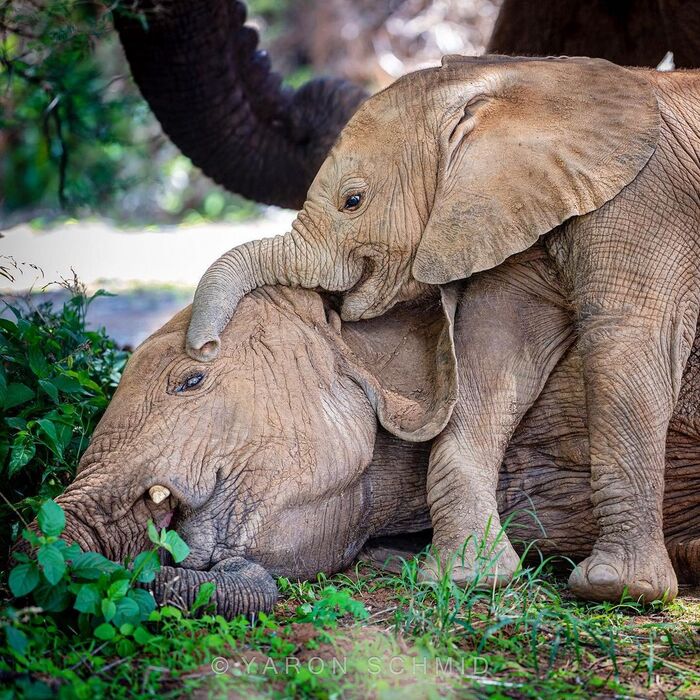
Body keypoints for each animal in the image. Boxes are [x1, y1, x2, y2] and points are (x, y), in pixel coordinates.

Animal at [185, 54, 700, 600]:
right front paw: (467, 576)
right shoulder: (514, 208)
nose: (205, 347)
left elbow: (624, 342)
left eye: (353, 201)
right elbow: (497, 344)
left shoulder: (648, 202)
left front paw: (616, 588)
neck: (518, 79)